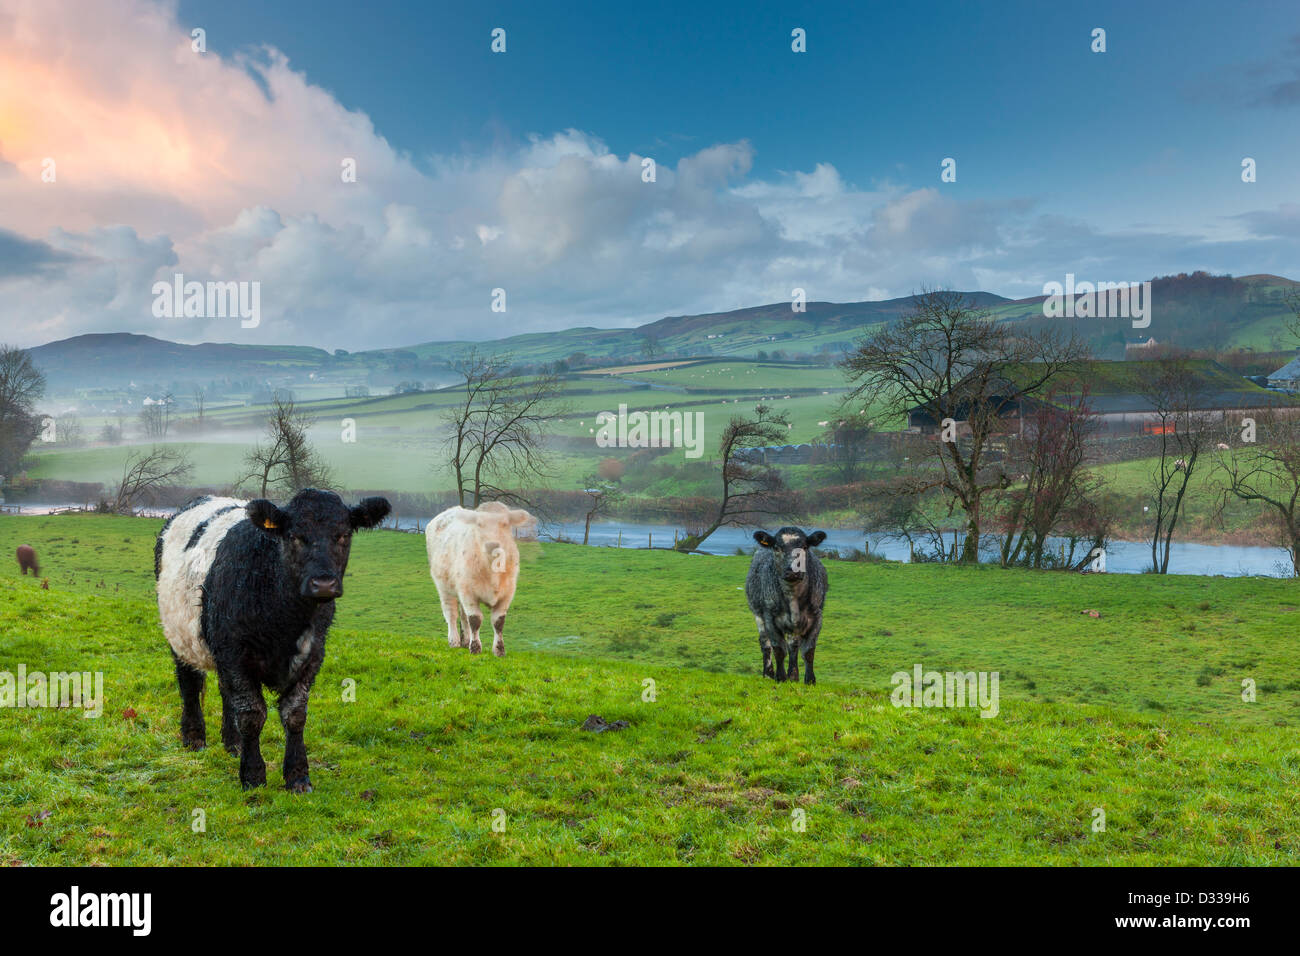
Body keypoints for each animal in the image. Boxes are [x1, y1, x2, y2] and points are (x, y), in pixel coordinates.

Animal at [155, 489, 387, 790]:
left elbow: (295, 715)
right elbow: (252, 714)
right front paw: (253, 775)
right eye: (294, 535)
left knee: (225, 692)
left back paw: (233, 743)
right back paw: (194, 738)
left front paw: (298, 776)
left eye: (344, 535)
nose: (323, 584)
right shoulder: (234, 652)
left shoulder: (313, 654)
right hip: (180, 635)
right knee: (190, 685)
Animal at [423, 502, 530, 658]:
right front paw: (475, 648)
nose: (492, 545)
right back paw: (454, 641)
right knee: (451, 614)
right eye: (479, 524)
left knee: (463, 615)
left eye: (505, 524)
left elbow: (498, 622)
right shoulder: (468, 592)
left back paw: (465, 640)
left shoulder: (507, 593)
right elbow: (475, 619)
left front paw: (499, 650)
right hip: (444, 587)